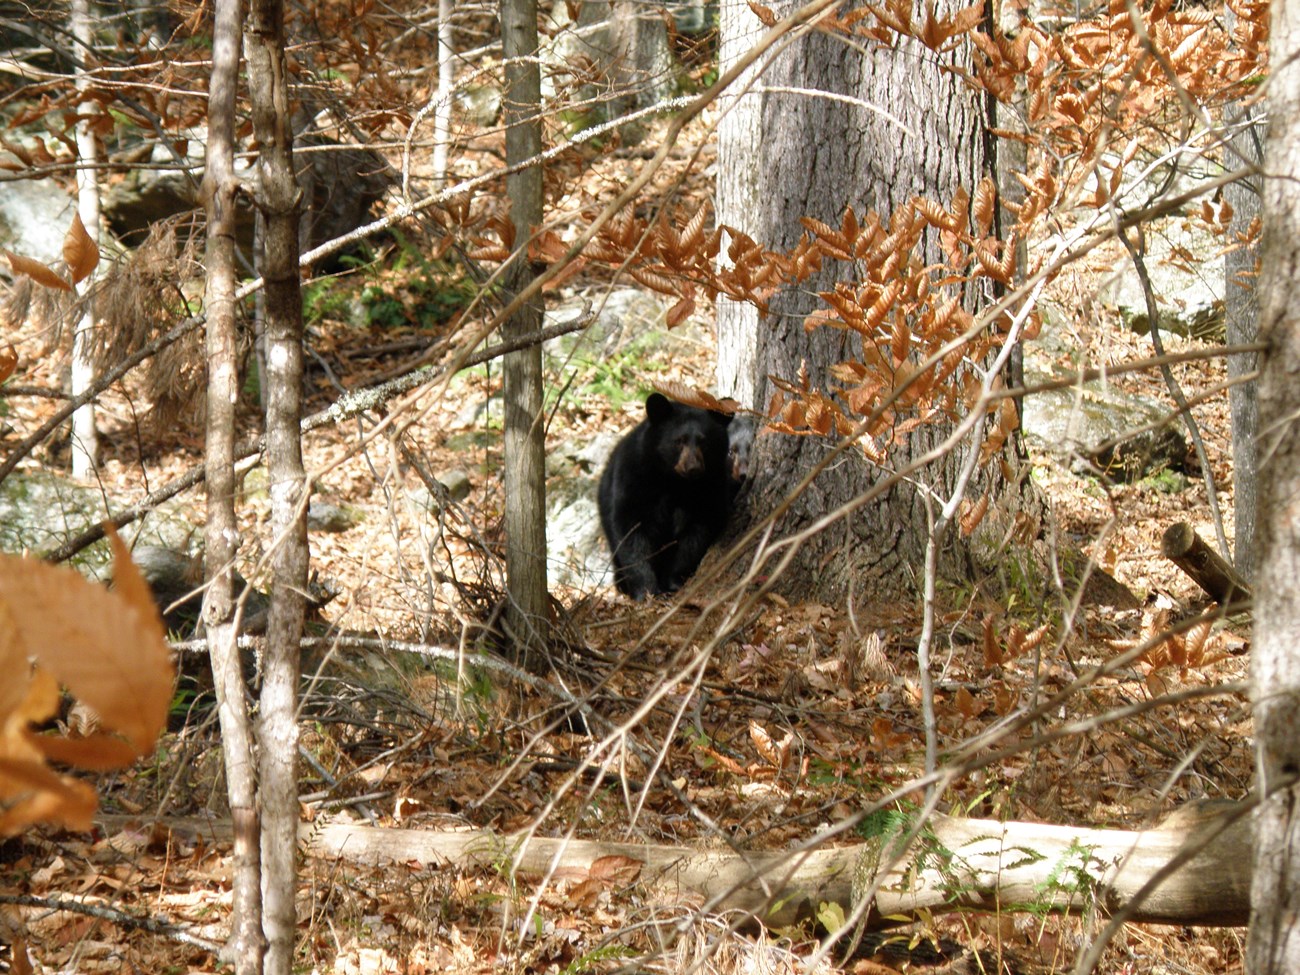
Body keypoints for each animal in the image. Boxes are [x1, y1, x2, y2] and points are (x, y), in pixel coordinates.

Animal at [598, 392, 733, 600]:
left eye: (704, 441)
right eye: (679, 440)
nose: (693, 467)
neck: (674, 481)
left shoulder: (710, 487)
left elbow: (697, 533)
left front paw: (673, 581)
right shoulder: (634, 478)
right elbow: (631, 531)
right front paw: (646, 590)